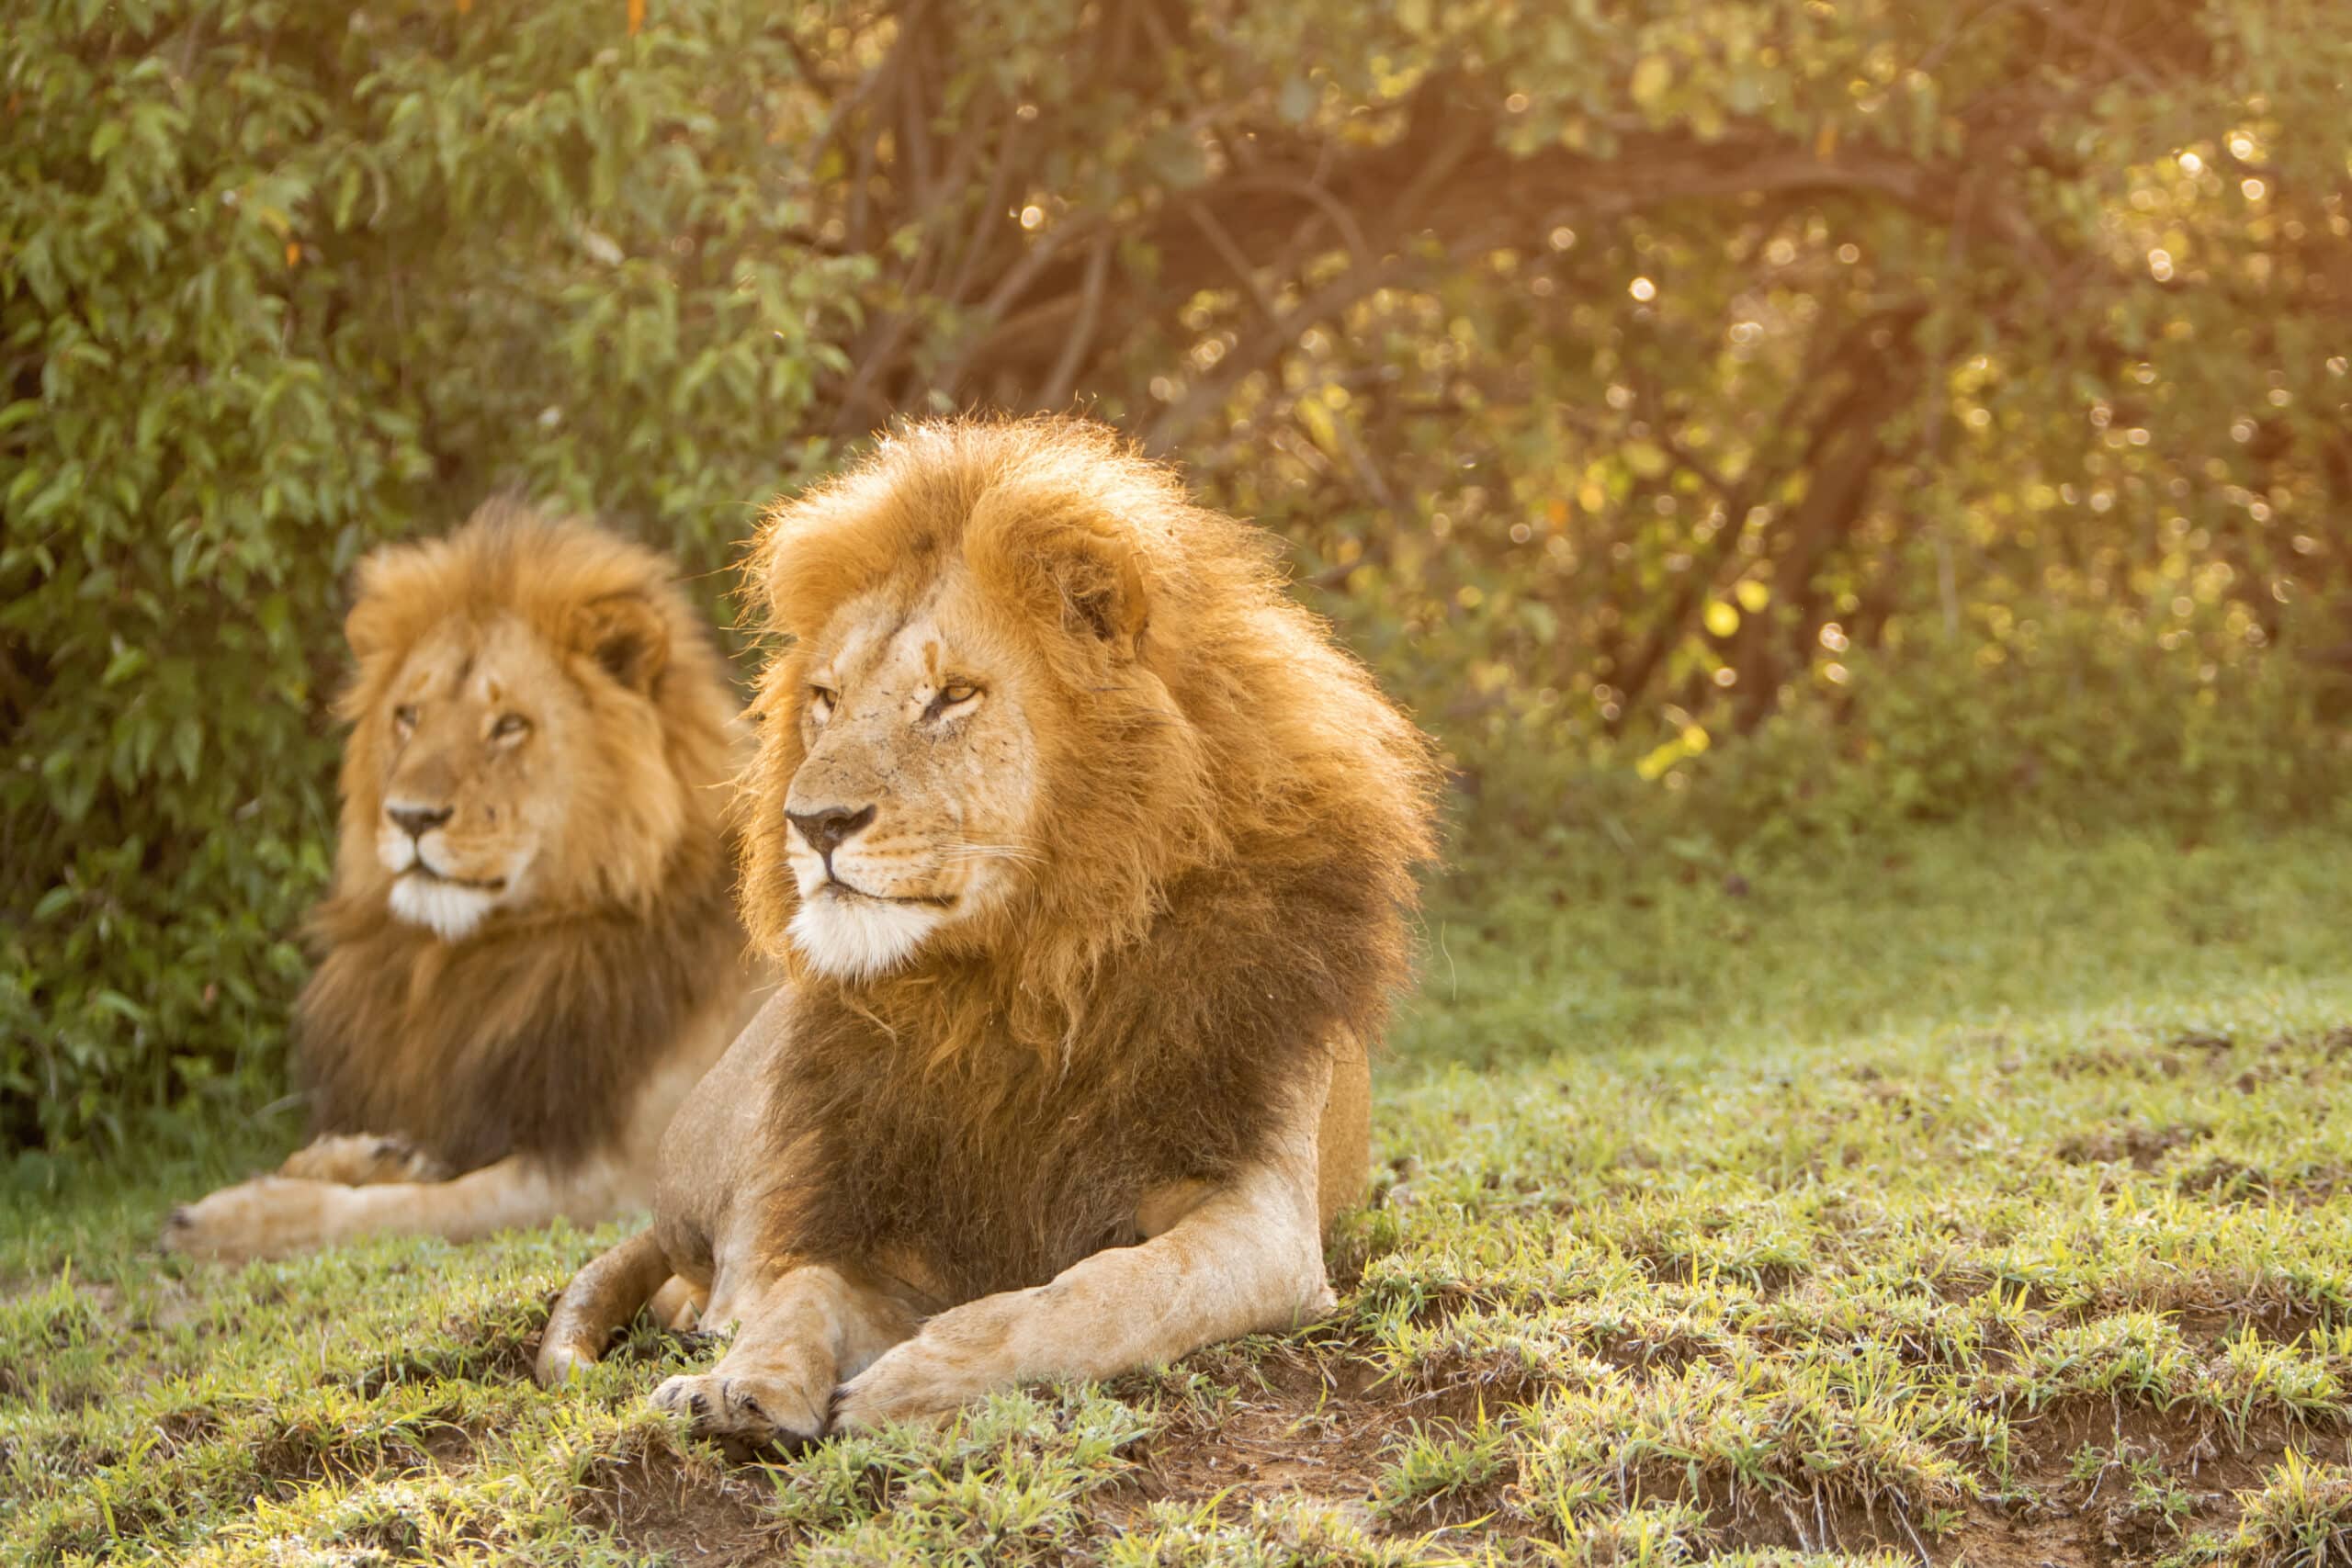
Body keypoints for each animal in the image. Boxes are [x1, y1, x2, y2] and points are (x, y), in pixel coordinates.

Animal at [165, 502, 771, 1259]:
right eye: (408, 716)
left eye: (508, 726)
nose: (410, 817)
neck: (477, 961)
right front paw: (364, 1156)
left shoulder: (615, 1176)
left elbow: (401, 1211)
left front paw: (230, 1219)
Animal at [538, 421, 1439, 1448]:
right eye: (825, 700)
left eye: (952, 697)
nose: (812, 823)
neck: (1023, 972)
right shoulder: (894, 1218)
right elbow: (806, 1289)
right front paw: (745, 1382)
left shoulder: (1264, 1220)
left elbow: (1103, 1294)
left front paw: (911, 1380)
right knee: (729, 1275)